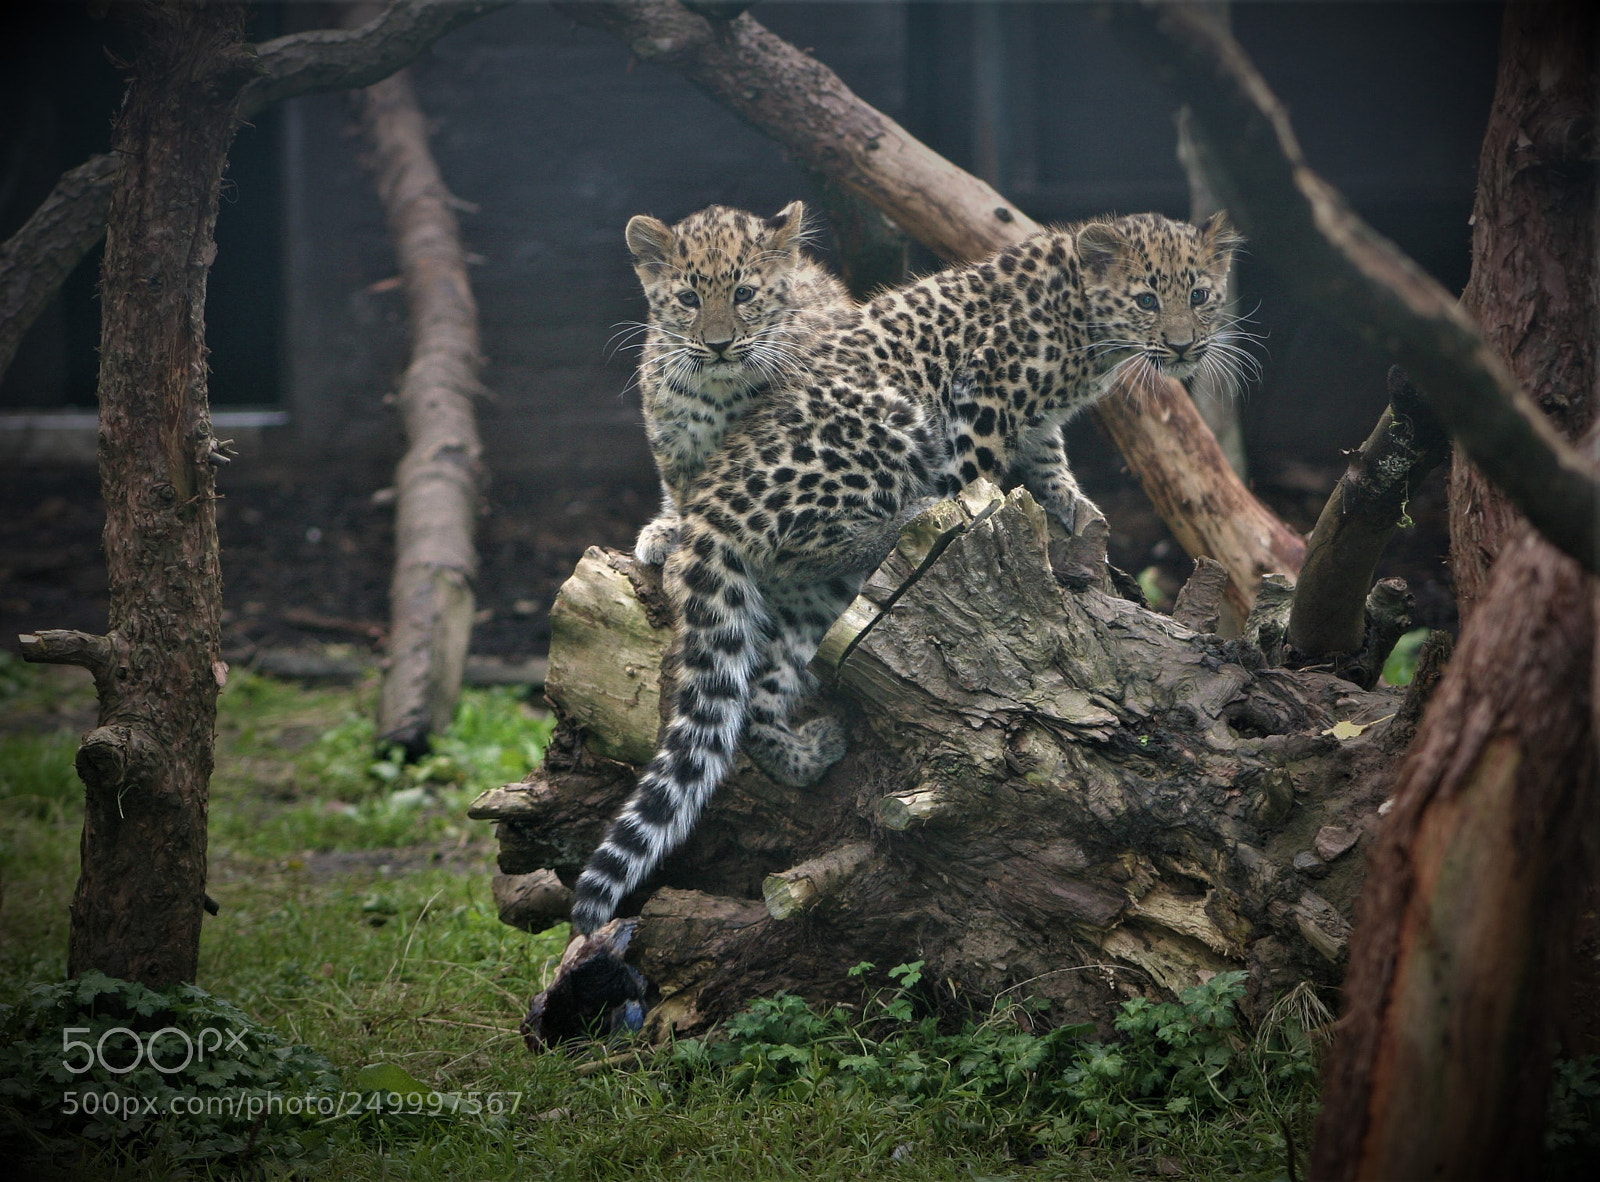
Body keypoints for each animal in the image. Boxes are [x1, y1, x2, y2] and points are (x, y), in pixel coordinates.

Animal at [623, 201, 854, 568]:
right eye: (689, 299)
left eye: (744, 294)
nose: (719, 345)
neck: (717, 391)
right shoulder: (673, 443)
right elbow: (682, 489)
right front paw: (674, 527)